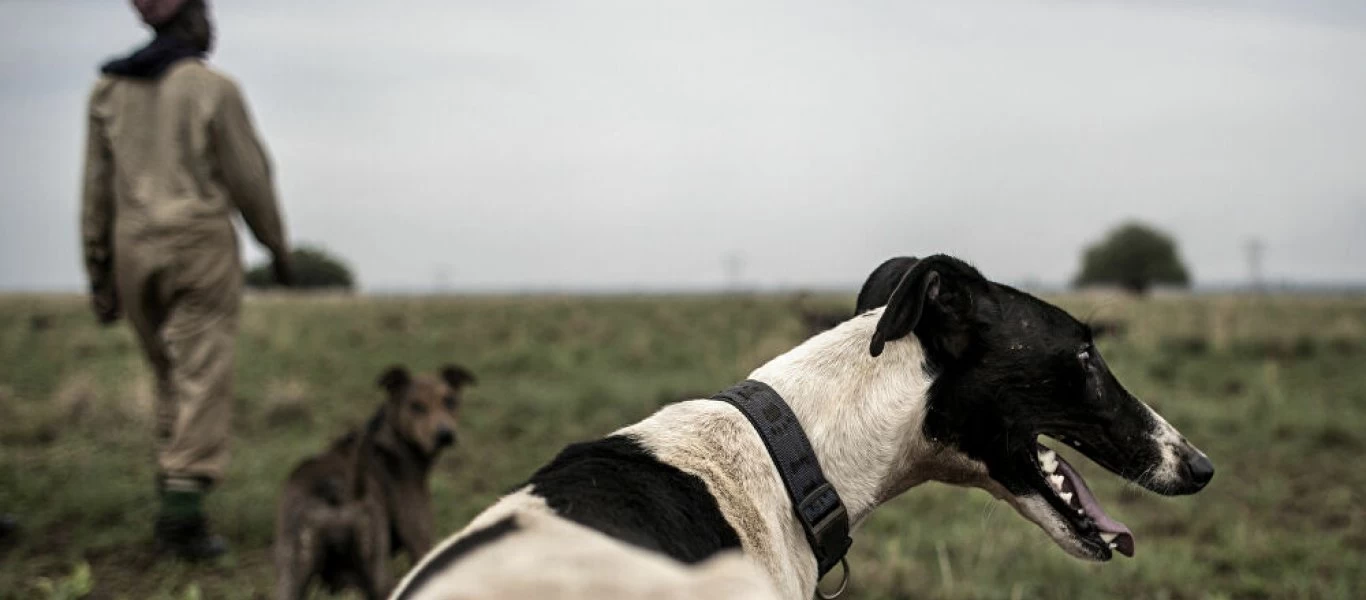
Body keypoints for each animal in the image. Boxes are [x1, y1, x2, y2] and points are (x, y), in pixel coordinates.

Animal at [271, 366, 475, 600]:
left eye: (450, 401)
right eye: (416, 406)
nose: (445, 435)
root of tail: (332, 491)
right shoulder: (420, 542)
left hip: (291, 577)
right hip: (378, 571)